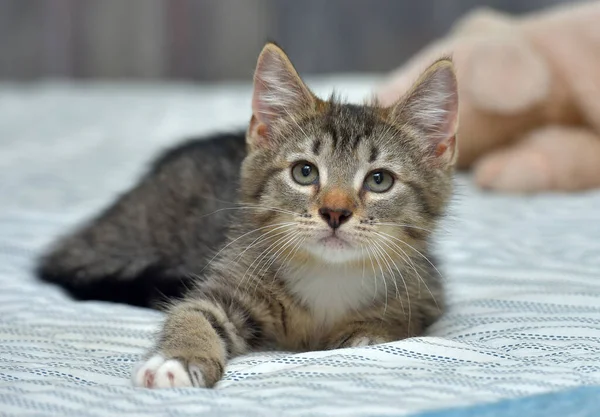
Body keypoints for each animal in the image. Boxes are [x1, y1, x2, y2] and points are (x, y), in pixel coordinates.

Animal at [38, 42, 460, 386]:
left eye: (379, 180)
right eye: (304, 172)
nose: (335, 212)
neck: (329, 274)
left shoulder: (425, 291)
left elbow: (400, 321)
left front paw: (367, 331)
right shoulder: (232, 273)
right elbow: (193, 312)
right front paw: (177, 359)